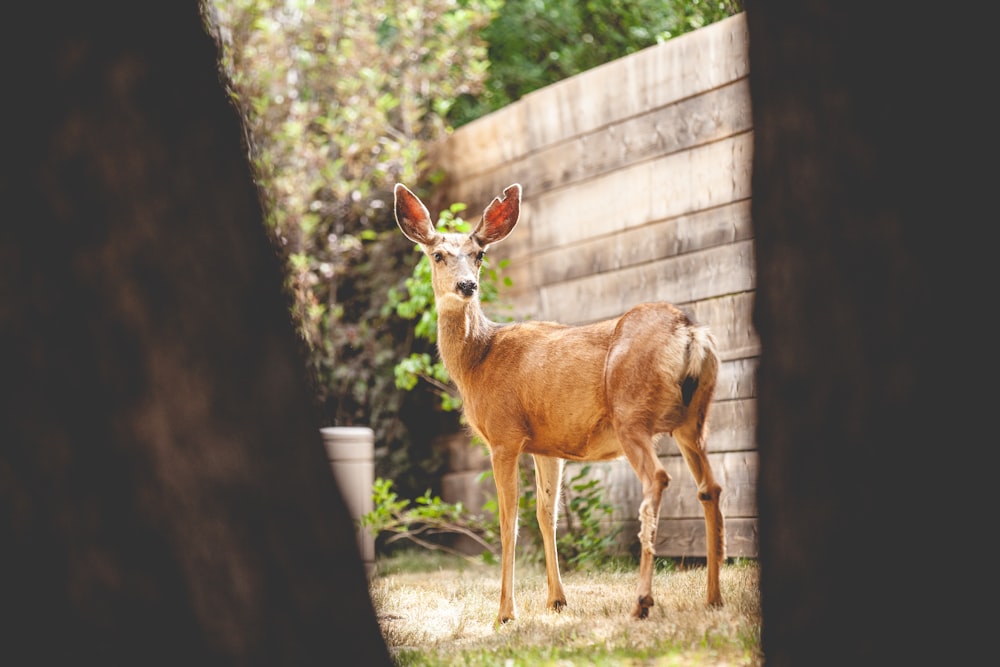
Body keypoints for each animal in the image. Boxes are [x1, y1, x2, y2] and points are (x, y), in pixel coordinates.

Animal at [392, 183, 728, 628]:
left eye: (479, 254)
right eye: (438, 254)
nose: (467, 286)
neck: (477, 360)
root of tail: (689, 332)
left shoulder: (504, 435)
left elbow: (509, 520)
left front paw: (505, 612)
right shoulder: (547, 445)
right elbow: (546, 514)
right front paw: (556, 600)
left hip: (632, 414)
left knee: (657, 478)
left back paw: (642, 601)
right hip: (694, 420)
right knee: (711, 487)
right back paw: (713, 598)